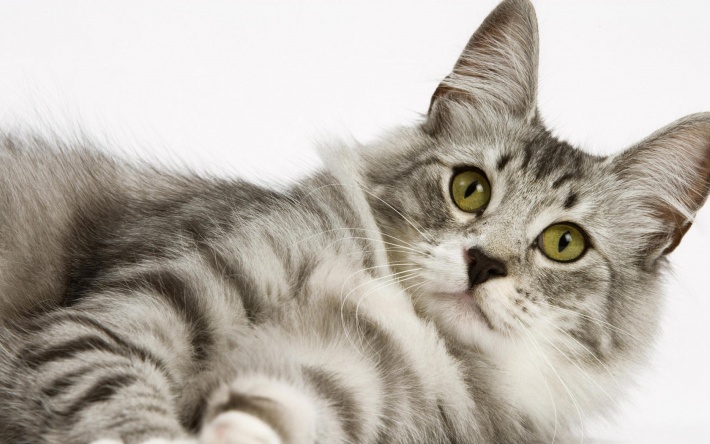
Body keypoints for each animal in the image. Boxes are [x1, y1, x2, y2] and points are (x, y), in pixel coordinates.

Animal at [0, 0, 708, 442]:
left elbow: (277, 410)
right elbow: (124, 404)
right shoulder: (125, 311)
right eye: (469, 188)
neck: (404, 321)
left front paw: (233, 420)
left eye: (564, 243)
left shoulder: (360, 394)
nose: (483, 264)